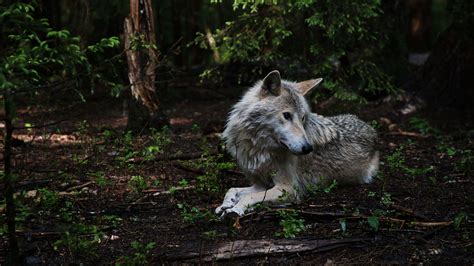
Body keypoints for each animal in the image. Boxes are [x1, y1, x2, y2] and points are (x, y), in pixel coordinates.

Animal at [217, 70, 380, 216]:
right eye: (286, 115)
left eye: (302, 118)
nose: (308, 148)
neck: (259, 147)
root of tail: (370, 129)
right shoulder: (260, 184)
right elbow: (232, 190)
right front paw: (225, 205)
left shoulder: (289, 189)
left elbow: (248, 197)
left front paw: (235, 209)